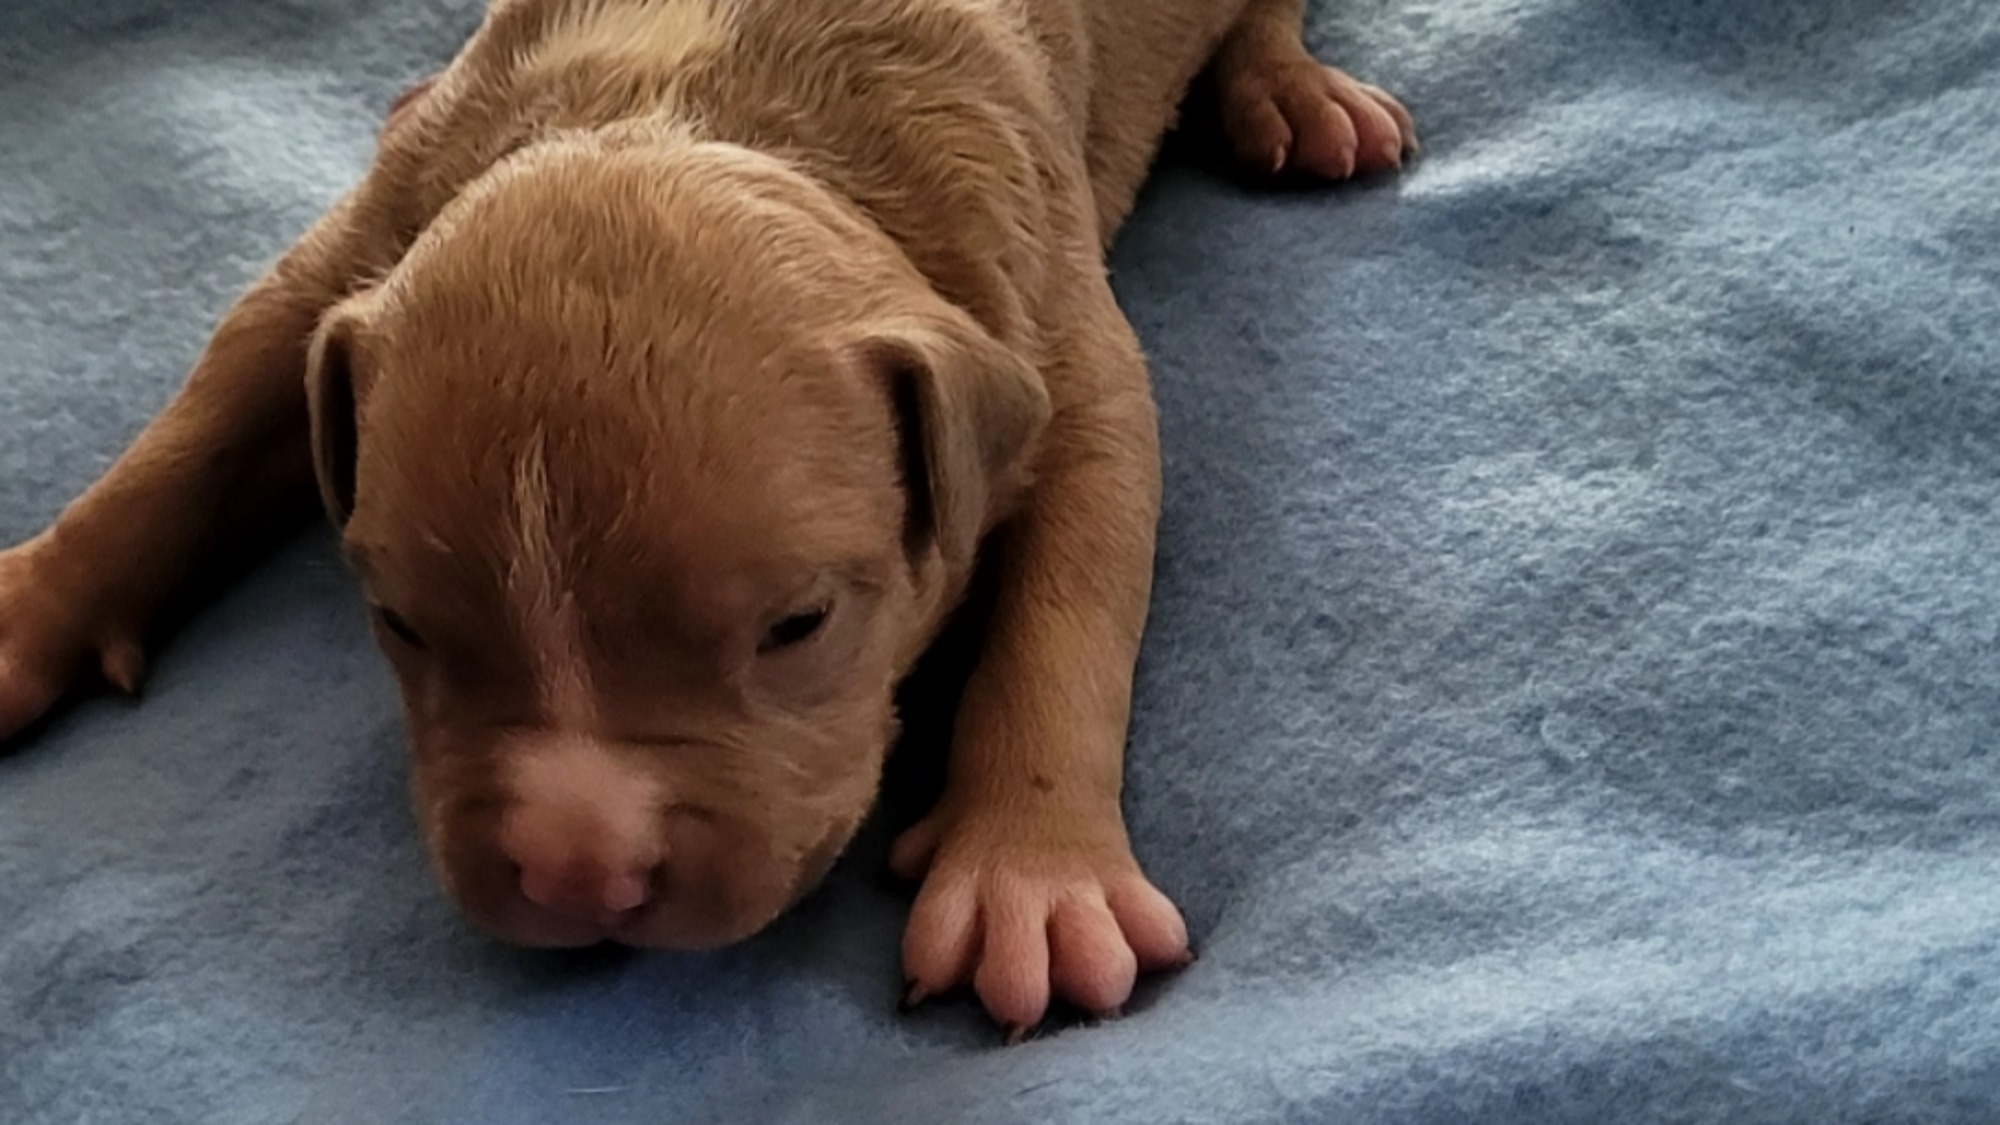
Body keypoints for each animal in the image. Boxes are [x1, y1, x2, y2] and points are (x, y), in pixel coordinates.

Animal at [0, 0, 1416, 1032]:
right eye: (399, 625)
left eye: (799, 625)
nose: (578, 871)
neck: (692, 103)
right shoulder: (357, 255)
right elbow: (198, 426)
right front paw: (29, 608)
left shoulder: (1060, 343)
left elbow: (1067, 603)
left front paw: (1032, 878)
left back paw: (1291, 96)